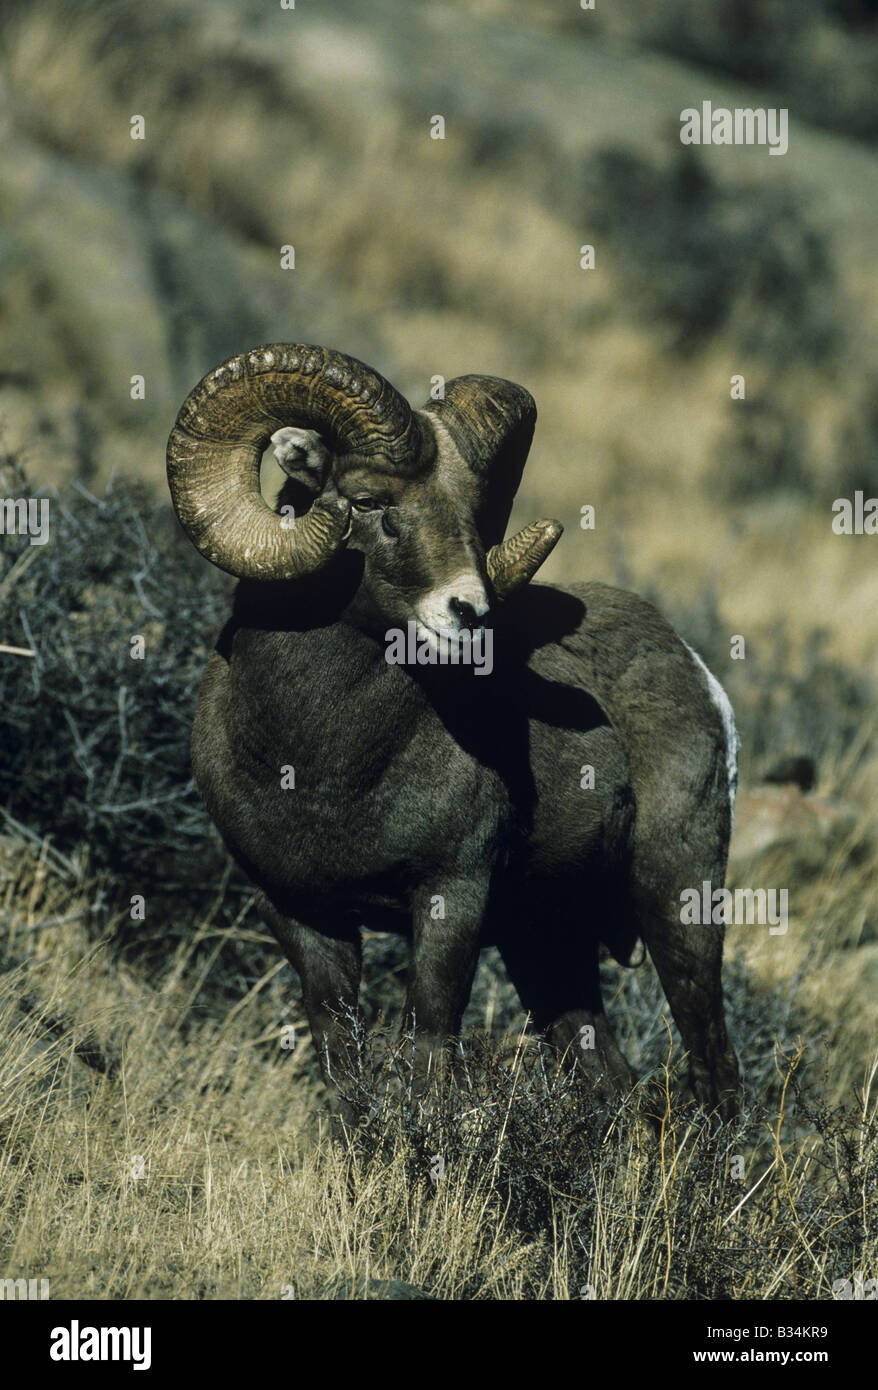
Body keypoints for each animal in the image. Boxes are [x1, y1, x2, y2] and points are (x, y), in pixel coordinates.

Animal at [167, 343, 741, 1126]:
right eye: (368, 502)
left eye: (474, 515)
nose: (468, 613)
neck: (314, 768)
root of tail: (695, 670)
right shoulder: (300, 915)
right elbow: (341, 1064)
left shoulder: (450, 899)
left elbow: (429, 1050)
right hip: (545, 944)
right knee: (609, 1077)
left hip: (679, 902)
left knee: (714, 1067)